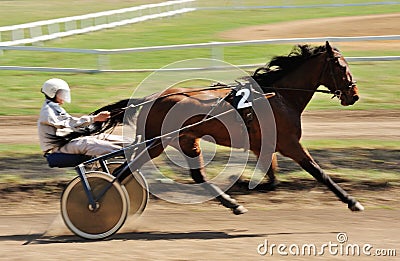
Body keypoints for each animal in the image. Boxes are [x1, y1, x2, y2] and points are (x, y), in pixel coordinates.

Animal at [57, 41, 366, 213]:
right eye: (341, 66)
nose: (354, 95)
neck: (277, 95)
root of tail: (153, 98)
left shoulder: (266, 145)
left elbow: (272, 176)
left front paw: (248, 184)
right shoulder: (291, 144)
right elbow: (319, 172)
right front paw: (352, 201)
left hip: (185, 140)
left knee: (195, 176)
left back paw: (232, 203)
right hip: (158, 142)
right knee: (126, 169)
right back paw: (97, 202)